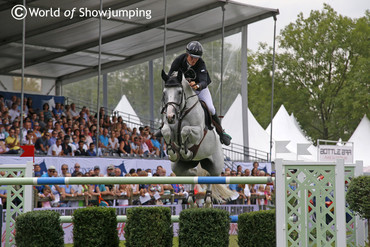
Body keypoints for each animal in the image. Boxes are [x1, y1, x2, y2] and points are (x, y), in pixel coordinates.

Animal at [160, 69, 234, 206]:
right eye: (164, 93)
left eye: (179, 92)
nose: (170, 117)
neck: (181, 112)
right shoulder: (168, 128)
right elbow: (166, 131)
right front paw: (172, 152)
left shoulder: (198, 132)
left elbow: (185, 131)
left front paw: (185, 151)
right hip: (179, 168)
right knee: (192, 175)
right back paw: (191, 199)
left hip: (215, 166)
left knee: (210, 177)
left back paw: (208, 201)